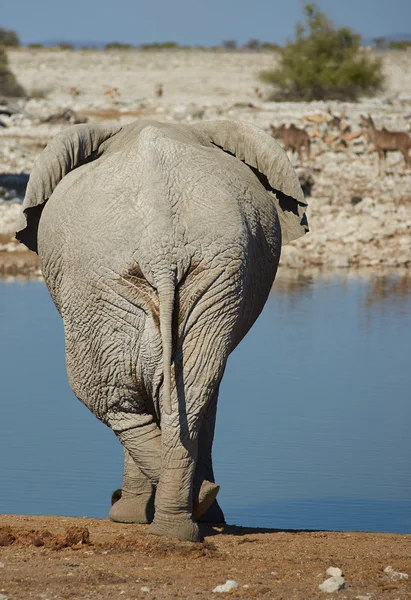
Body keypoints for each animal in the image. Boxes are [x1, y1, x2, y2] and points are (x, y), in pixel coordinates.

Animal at [16, 119, 308, 540]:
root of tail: (162, 250)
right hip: (210, 280)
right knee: (191, 390)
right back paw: (186, 519)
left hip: (107, 285)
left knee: (109, 395)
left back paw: (163, 514)